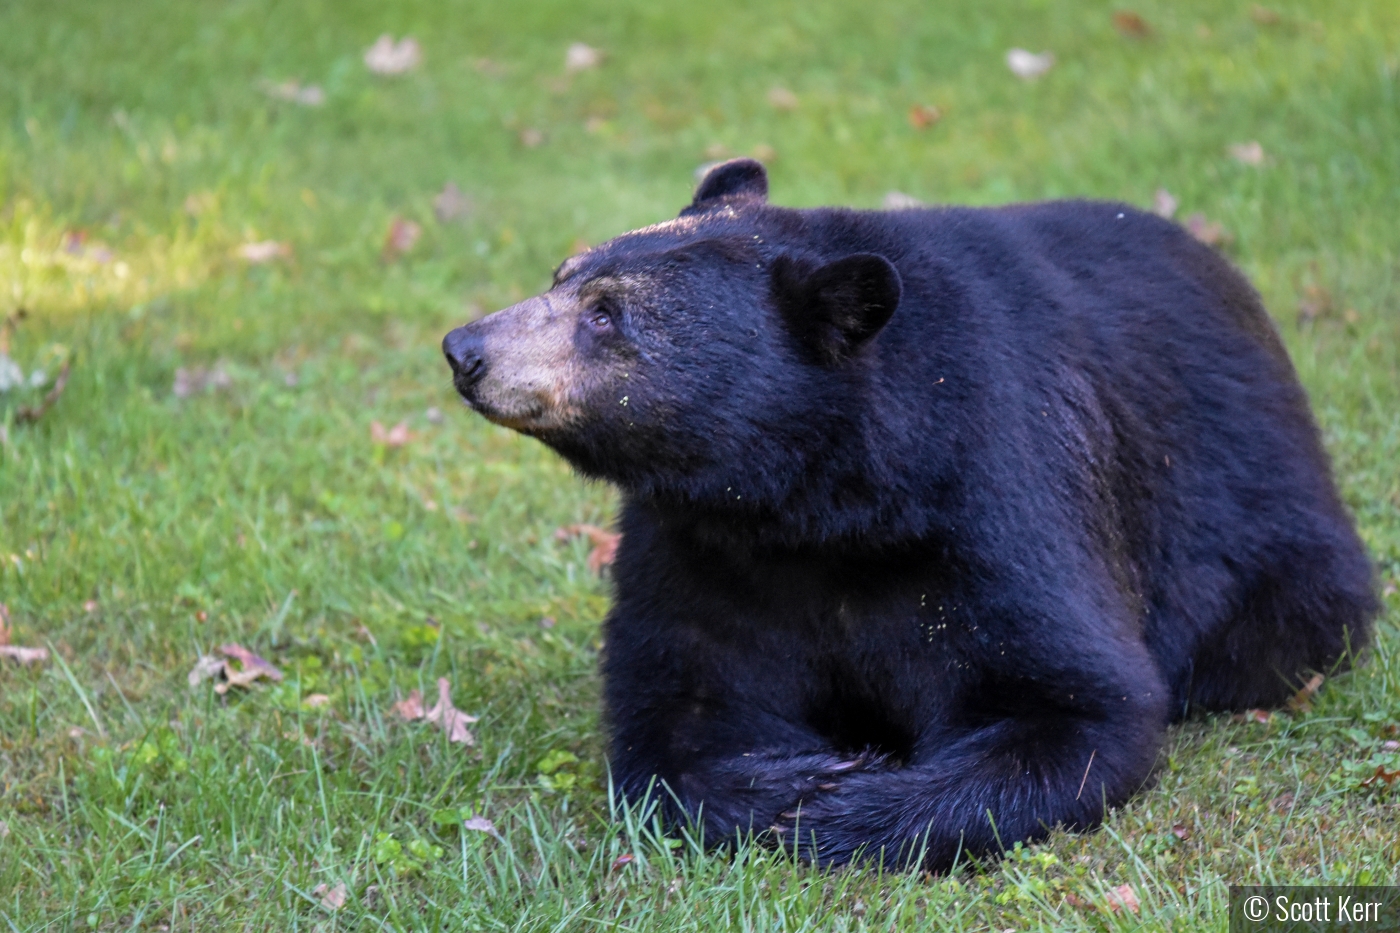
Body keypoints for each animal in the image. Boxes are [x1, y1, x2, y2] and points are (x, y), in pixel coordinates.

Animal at [445, 158, 1377, 862]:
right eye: (562, 276)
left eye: (607, 315)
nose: (465, 349)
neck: (817, 503)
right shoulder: (698, 542)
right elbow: (679, 700)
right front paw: (788, 779)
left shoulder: (1000, 495)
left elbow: (1078, 699)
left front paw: (845, 801)